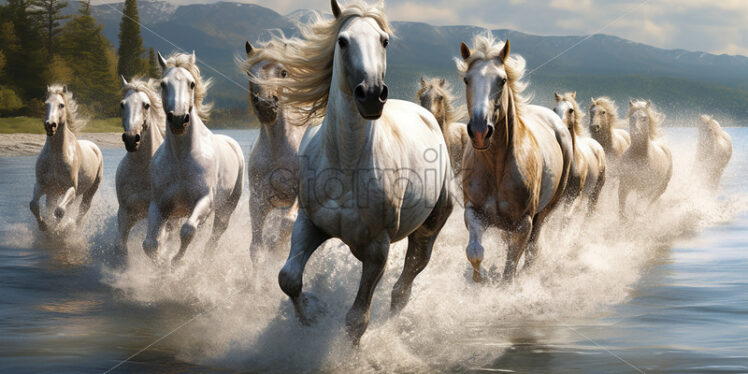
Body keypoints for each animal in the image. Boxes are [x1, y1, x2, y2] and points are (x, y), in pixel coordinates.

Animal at [29, 84, 103, 234]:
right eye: (46, 104)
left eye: (61, 105)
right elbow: (34, 205)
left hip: (91, 189)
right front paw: (43, 226)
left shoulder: (71, 188)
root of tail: (94, 147)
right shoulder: (42, 184)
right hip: (54, 192)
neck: (56, 155)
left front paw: (56, 228)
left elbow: (59, 211)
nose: (50, 125)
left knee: (83, 208)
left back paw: (74, 226)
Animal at [115, 77, 165, 256]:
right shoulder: (125, 212)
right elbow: (120, 246)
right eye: (122, 104)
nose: (131, 139)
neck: (143, 170)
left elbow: (152, 246)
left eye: (146, 105)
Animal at [146, 51, 248, 266]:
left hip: (225, 209)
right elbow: (149, 244)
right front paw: (161, 264)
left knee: (214, 236)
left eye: (191, 83)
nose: (178, 119)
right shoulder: (159, 205)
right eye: (163, 84)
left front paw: (176, 261)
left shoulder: (204, 200)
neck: (181, 159)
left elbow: (188, 231)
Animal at [248, 0, 452, 344]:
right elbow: (288, 278)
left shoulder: (377, 248)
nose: (371, 94)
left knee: (404, 284)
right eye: (343, 41)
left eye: (385, 41)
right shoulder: (309, 223)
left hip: (428, 229)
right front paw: (311, 313)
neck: (345, 165)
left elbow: (357, 320)